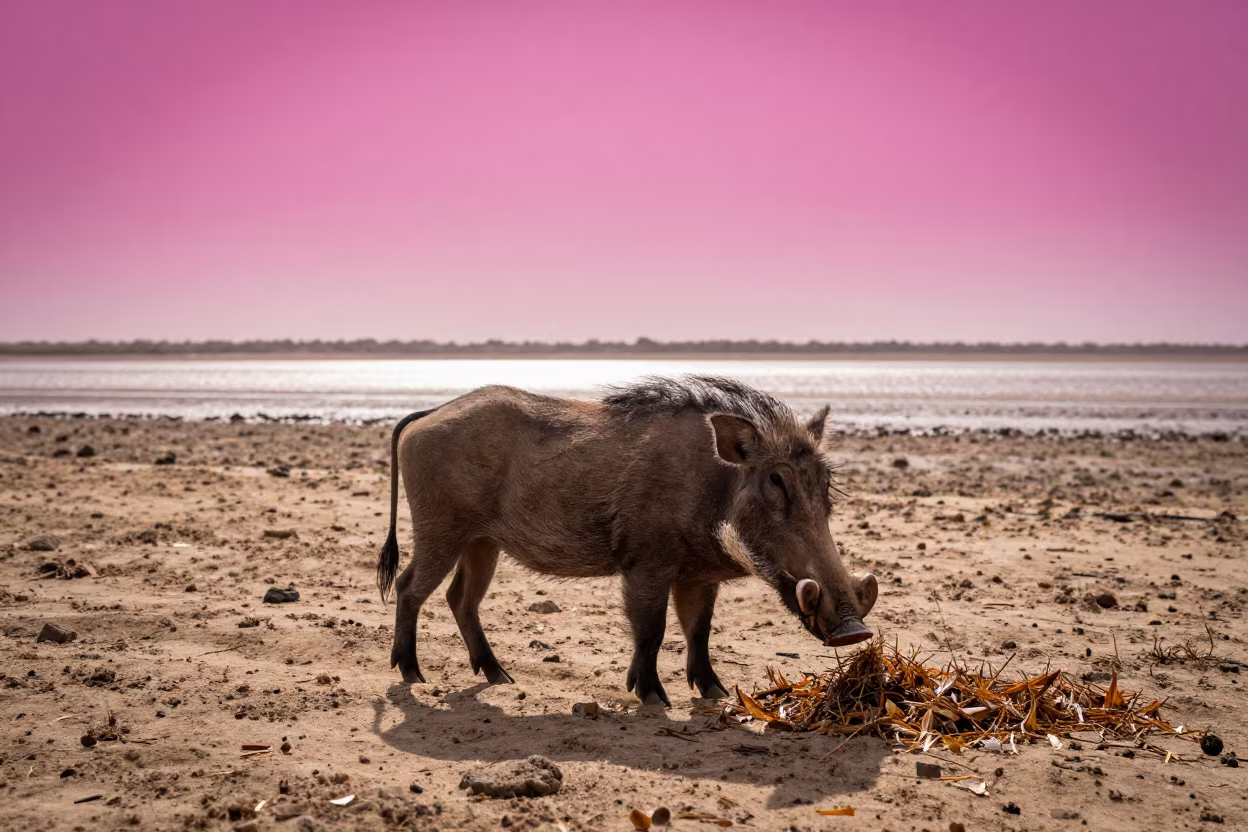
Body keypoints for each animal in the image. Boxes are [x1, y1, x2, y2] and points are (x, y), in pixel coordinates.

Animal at [376, 375, 877, 705]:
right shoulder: (647, 565)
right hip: (440, 530)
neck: (714, 483)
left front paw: (715, 693)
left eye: (826, 480)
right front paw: (653, 698)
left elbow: (699, 631)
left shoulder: (697, 577)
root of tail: (429, 414)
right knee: (409, 588)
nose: (855, 631)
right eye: (776, 480)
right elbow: (651, 629)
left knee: (461, 598)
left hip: (482, 543)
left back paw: (501, 678)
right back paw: (413, 673)